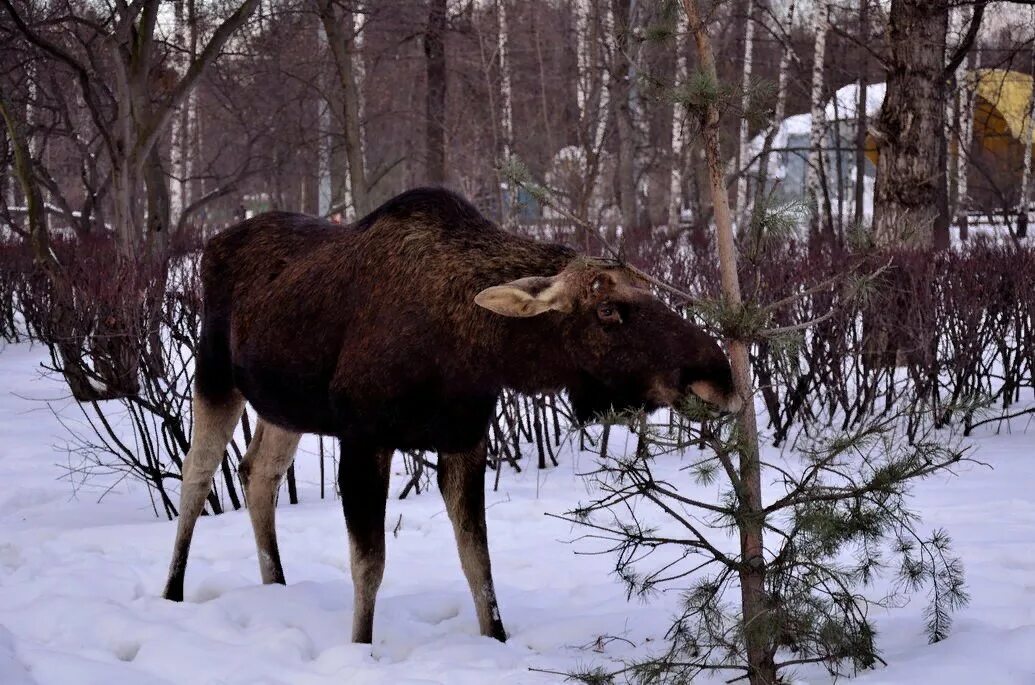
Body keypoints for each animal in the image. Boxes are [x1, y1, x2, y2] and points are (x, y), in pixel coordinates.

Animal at [165, 186, 741, 645]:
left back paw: (276, 583)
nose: (719, 374)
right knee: (197, 474)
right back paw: (172, 592)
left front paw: (497, 639)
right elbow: (369, 564)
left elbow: (477, 560)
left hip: (284, 406)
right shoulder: (365, 436)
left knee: (257, 473)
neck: (473, 352)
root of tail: (211, 245)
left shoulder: (466, 438)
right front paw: (361, 646)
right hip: (215, 373)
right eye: (606, 311)